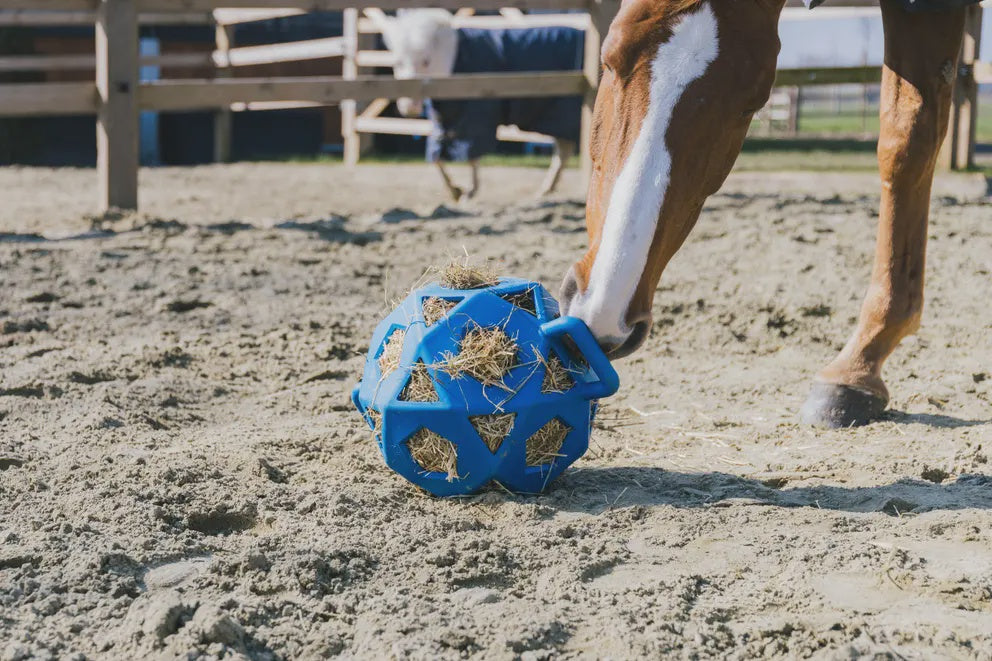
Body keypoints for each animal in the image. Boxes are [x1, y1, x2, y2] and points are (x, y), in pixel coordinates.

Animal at [373, 9, 584, 202]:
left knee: (565, 150)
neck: (455, 61)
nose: (409, 107)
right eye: (398, 63)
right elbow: (437, 156)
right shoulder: (446, 121)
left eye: (426, 61)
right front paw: (455, 191)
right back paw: (546, 189)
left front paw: (470, 191)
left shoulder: (475, 119)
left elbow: (472, 155)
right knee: (564, 151)